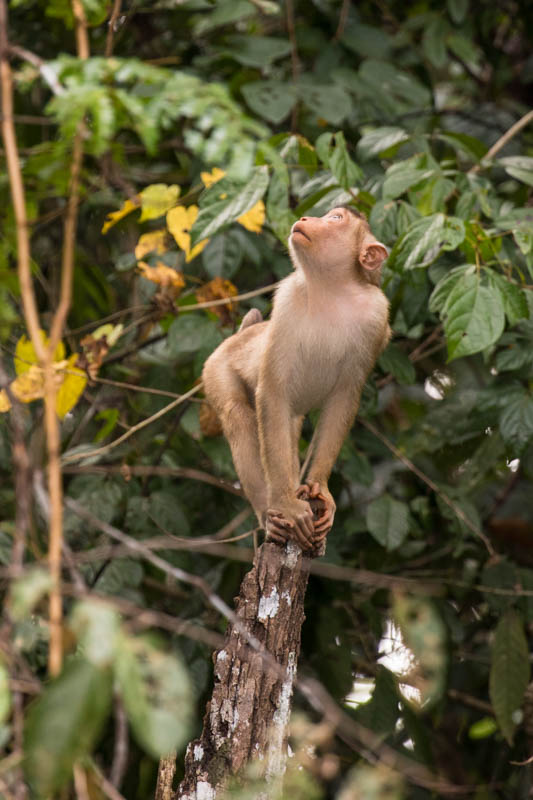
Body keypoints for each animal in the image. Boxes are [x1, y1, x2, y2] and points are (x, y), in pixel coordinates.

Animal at [202, 206, 388, 552]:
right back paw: (271, 512)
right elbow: (272, 391)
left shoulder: (377, 319)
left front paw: (319, 489)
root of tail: (239, 335)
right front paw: (288, 506)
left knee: (286, 428)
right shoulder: (287, 300)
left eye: (336, 218)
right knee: (239, 413)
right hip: (216, 367)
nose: (305, 219)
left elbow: (345, 397)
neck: (333, 290)